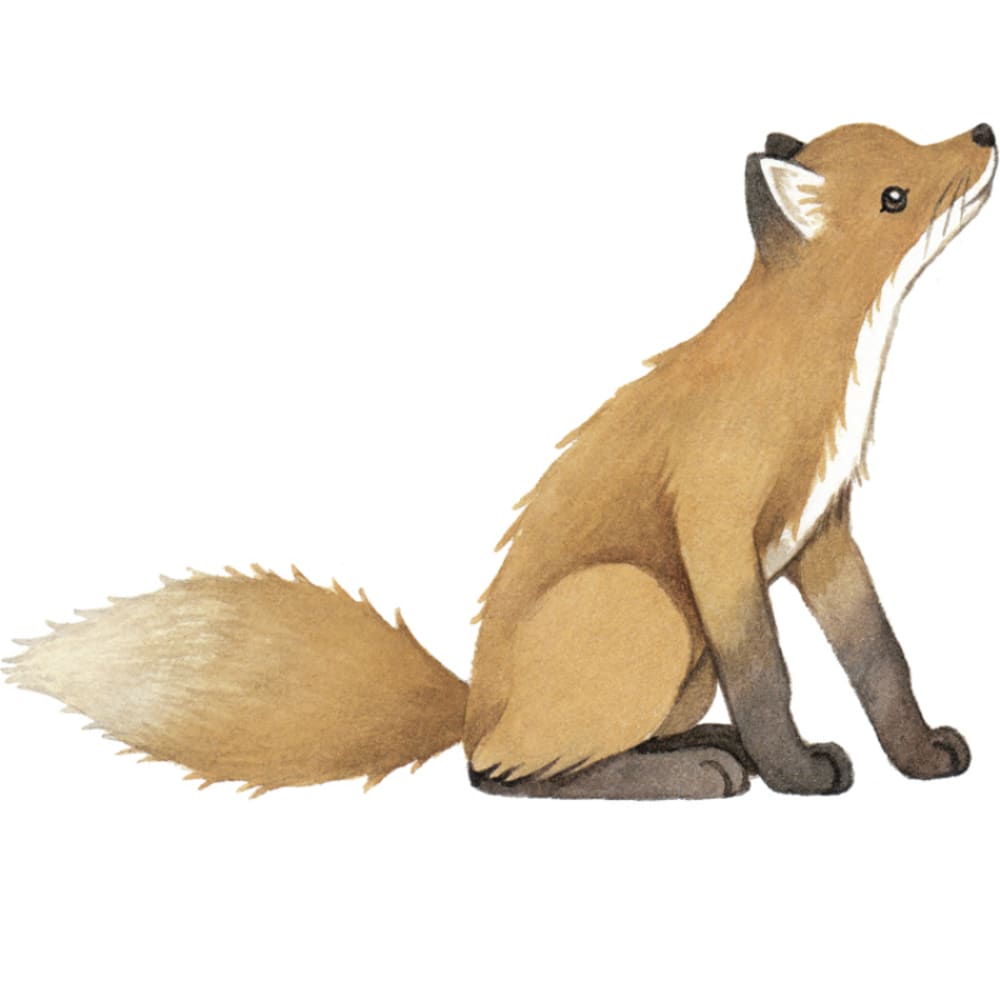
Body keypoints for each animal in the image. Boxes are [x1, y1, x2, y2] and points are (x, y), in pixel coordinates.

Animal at [6, 122, 997, 800]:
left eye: (914, 143)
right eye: (897, 194)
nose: (983, 131)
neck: (811, 374)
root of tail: (472, 702)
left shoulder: (823, 531)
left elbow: (881, 658)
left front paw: (919, 758)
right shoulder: (717, 532)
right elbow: (770, 673)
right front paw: (796, 772)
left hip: (677, 659)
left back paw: (702, 751)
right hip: (646, 605)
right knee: (499, 775)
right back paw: (702, 772)